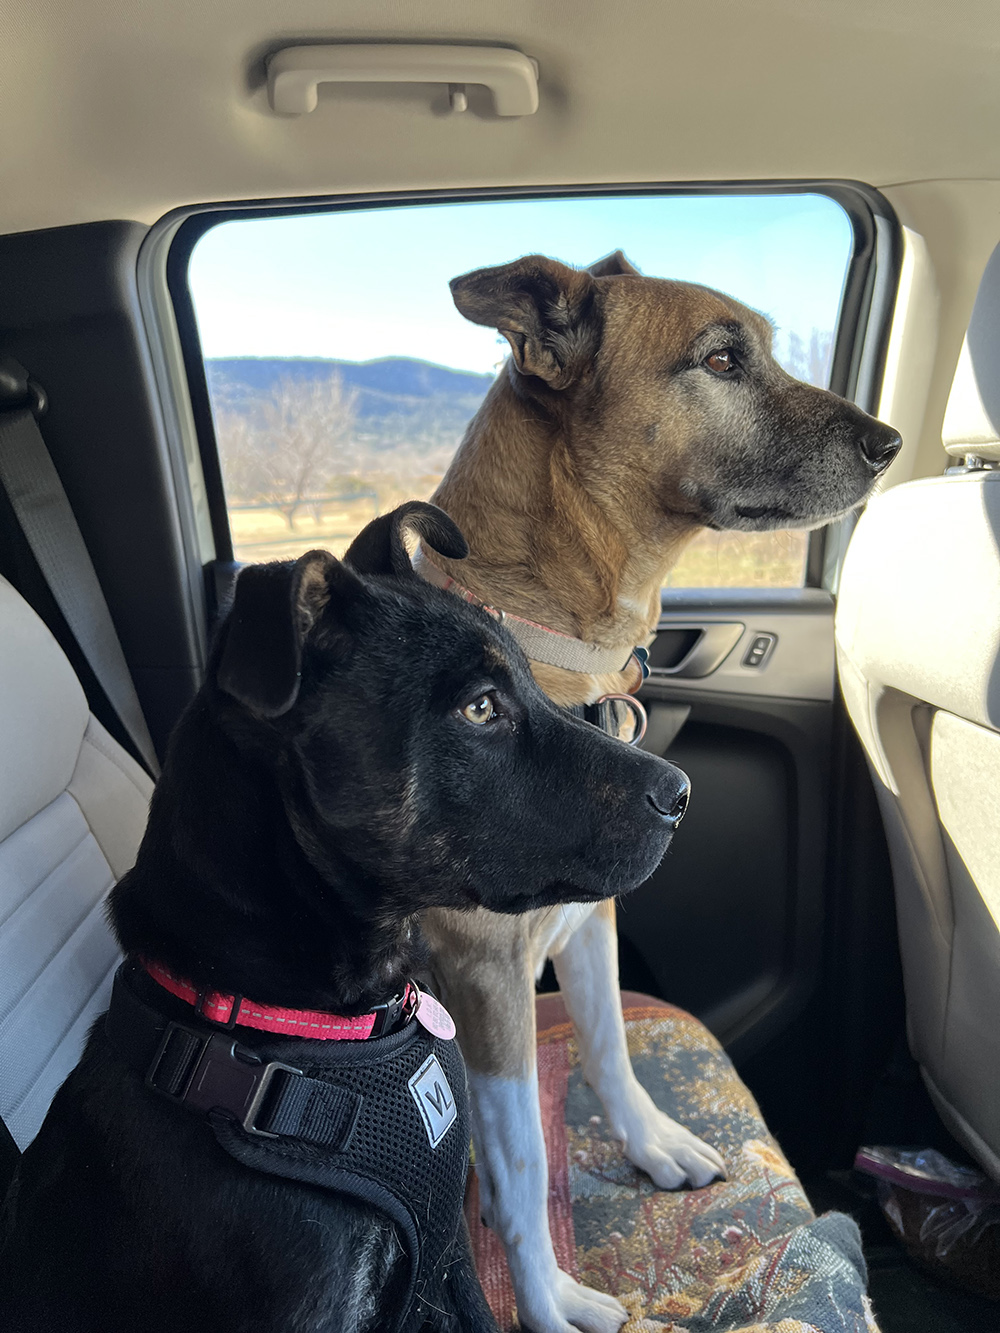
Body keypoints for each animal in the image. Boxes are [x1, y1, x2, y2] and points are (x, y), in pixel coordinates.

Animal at [417, 252, 903, 1333]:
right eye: (720, 360)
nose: (891, 442)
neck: (548, 648)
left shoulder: (589, 918)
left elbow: (605, 1048)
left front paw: (645, 1141)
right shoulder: (484, 973)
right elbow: (520, 1162)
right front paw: (542, 1299)